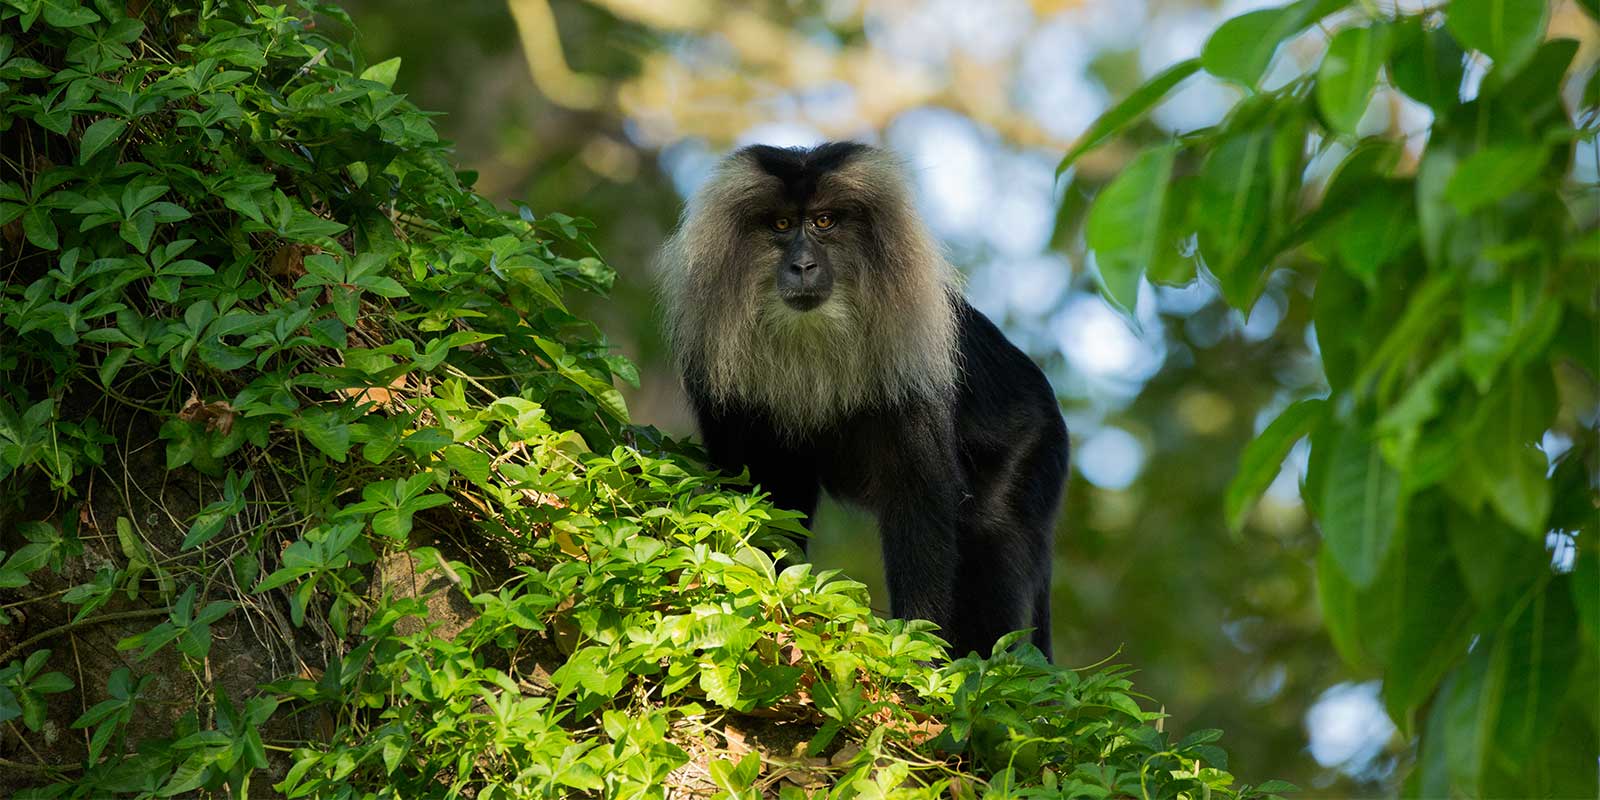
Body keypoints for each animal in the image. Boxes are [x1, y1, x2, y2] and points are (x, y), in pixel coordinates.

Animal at [656, 141, 1069, 660]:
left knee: (990, 528)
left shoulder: (911, 364)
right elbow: (755, 493)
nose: (803, 266)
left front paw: (915, 646)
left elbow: (920, 503)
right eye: (782, 225)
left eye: (825, 221)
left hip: (1035, 444)